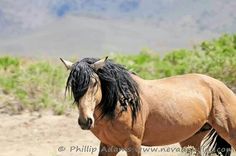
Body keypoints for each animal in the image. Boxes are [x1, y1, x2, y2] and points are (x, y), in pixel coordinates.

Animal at [60, 57, 236, 156]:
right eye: (73, 86)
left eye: (94, 83)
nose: (85, 121)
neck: (121, 104)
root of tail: (223, 87)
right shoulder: (108, 145)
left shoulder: (133, 145)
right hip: (191, 140)